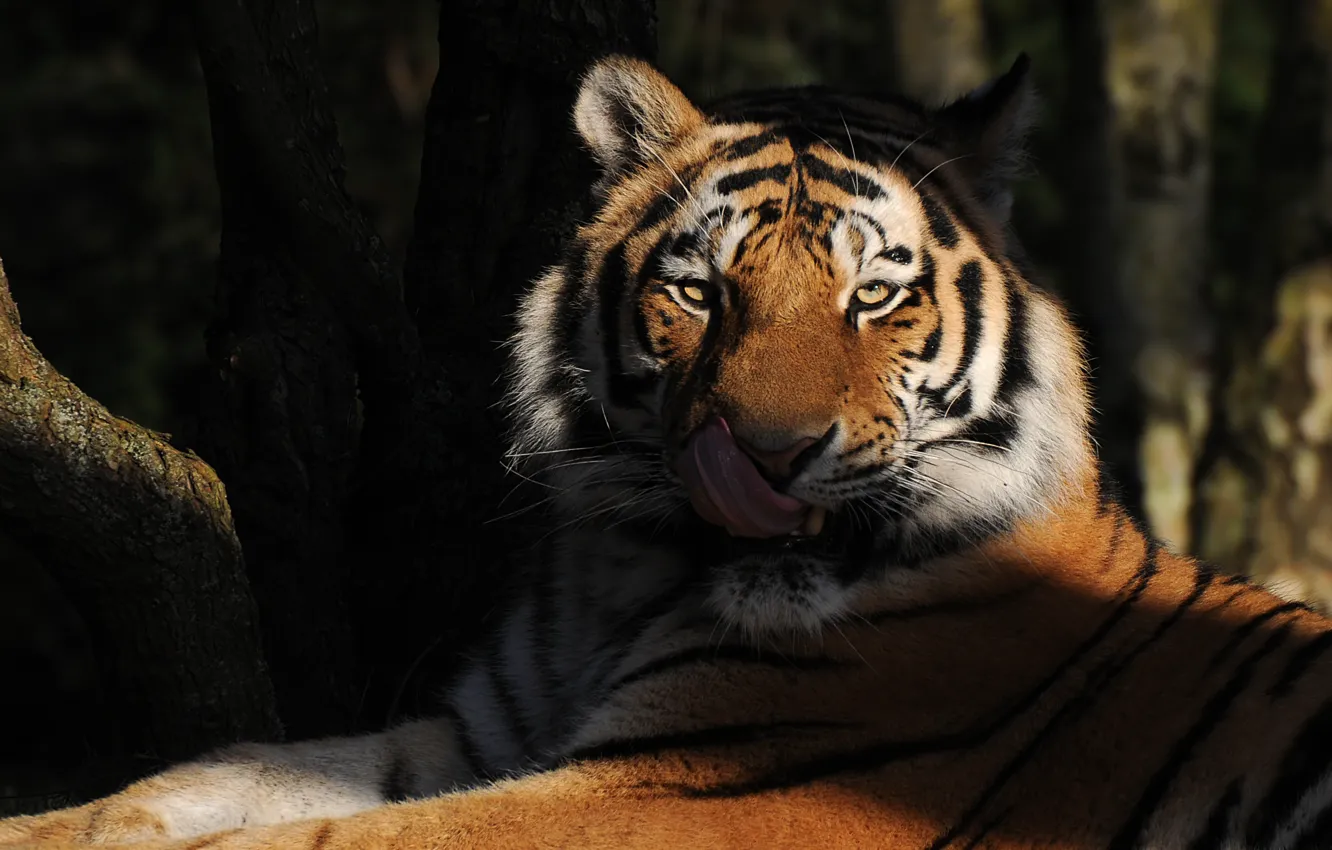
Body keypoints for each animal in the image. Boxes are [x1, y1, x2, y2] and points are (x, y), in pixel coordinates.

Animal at [4, 53, 1332, 850]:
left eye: (874, 297)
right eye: (700, 291)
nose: (770, 457)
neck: (629, 572)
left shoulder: (685, 786)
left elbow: (325, 838)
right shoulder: (487, 733)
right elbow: (211, 771)